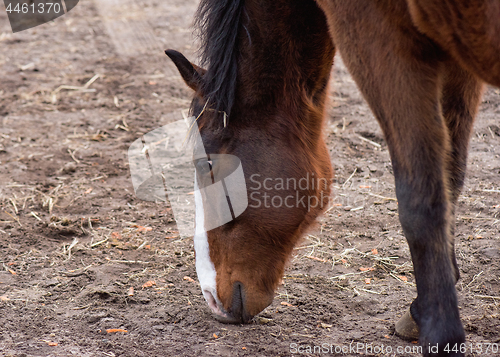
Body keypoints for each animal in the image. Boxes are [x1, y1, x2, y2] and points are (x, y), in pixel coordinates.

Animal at [165, 0, 500, 356]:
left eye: (205, 164)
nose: (211, 299)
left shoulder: (379, 38)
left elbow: (420, 203)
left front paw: (438, 331)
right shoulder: (456, 62)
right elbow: (450, 177)